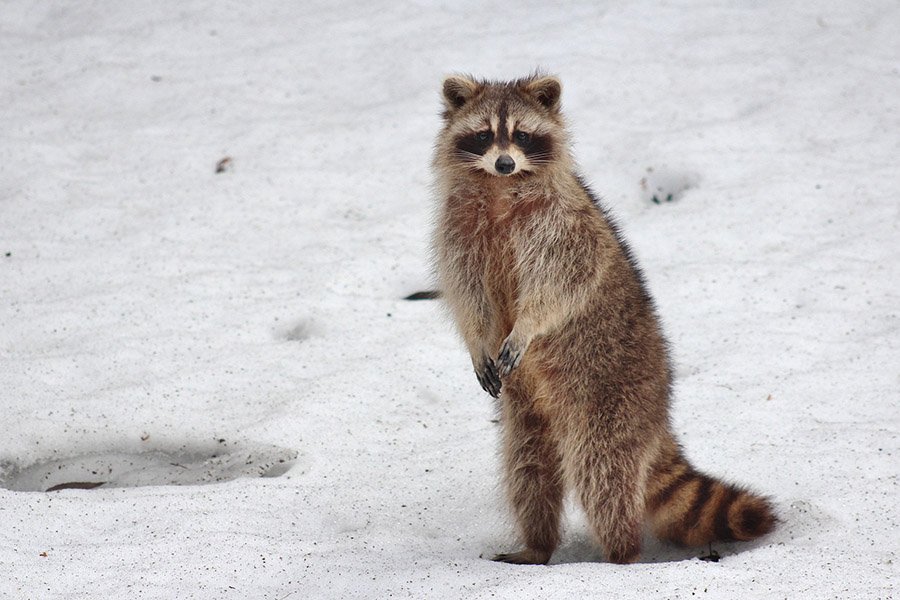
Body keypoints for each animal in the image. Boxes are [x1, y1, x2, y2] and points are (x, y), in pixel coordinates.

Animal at [431, 74, 776, 565]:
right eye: (484, 135)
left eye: (520, 135)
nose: (503, 162)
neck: (499, 189)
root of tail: (659, 414)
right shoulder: (457, 231)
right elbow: (468, 294)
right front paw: (478, 340)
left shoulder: (563, 226)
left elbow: (562, 283)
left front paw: (527, 326)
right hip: (528, 413)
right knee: (528, 468)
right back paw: (537, 545)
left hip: (612, 397)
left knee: (603, 471)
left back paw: (621, 553)